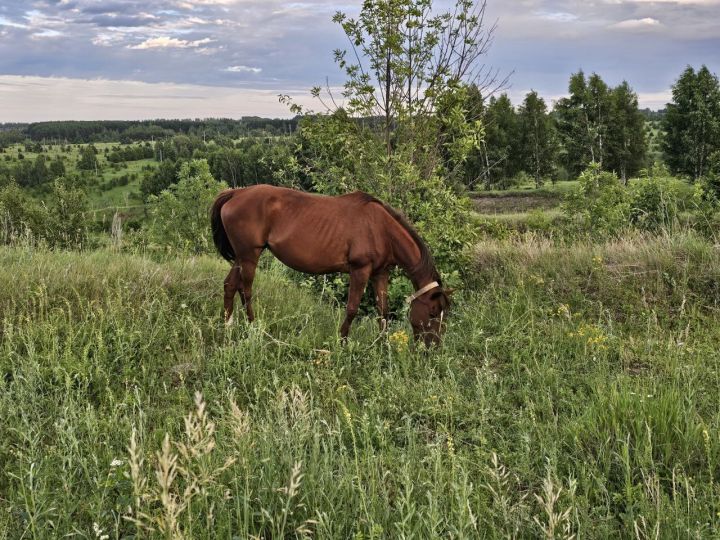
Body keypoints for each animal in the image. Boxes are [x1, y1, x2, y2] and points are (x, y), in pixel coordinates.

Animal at [211, 186, 452, 346]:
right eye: (433, 313)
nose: (433, 347)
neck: (381, 229)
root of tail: (236, 193)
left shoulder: (380, 274)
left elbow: (382, 310)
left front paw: (382, 345)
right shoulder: (360, 270)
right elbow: (352, 308)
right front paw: (342, 342)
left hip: (242, 257)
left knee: (230, 285)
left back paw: (228, 326)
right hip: (249, 256)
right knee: (246, 291)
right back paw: (253, 328)